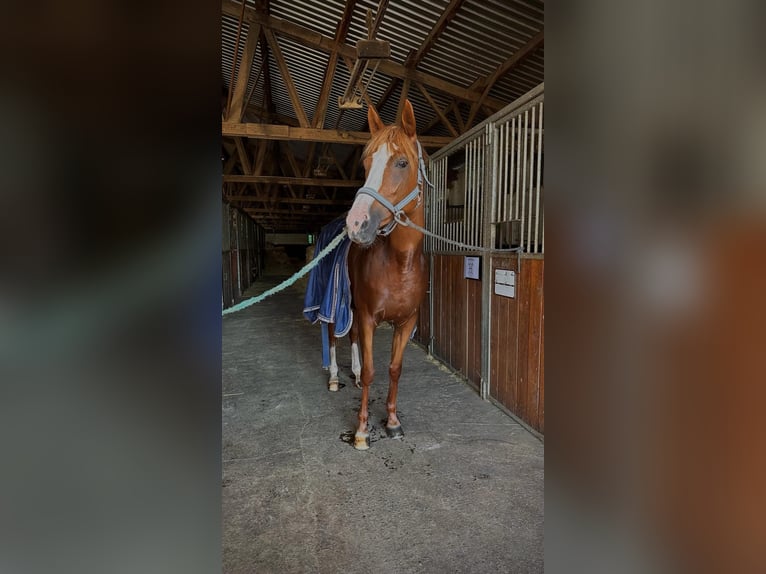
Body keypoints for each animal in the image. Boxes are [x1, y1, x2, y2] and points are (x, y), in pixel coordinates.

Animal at [328, 98, 428, 450]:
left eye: (401, 162)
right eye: (366, 162)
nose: (356, 223)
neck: (399, 263)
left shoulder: (406, 321)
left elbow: (394, 369)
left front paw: (393, 422)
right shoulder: (369, 316)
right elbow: (374, 371)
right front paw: (361, 431)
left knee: (353, 338)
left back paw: (354, 375)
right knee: (333, 336)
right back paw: (334, 378)